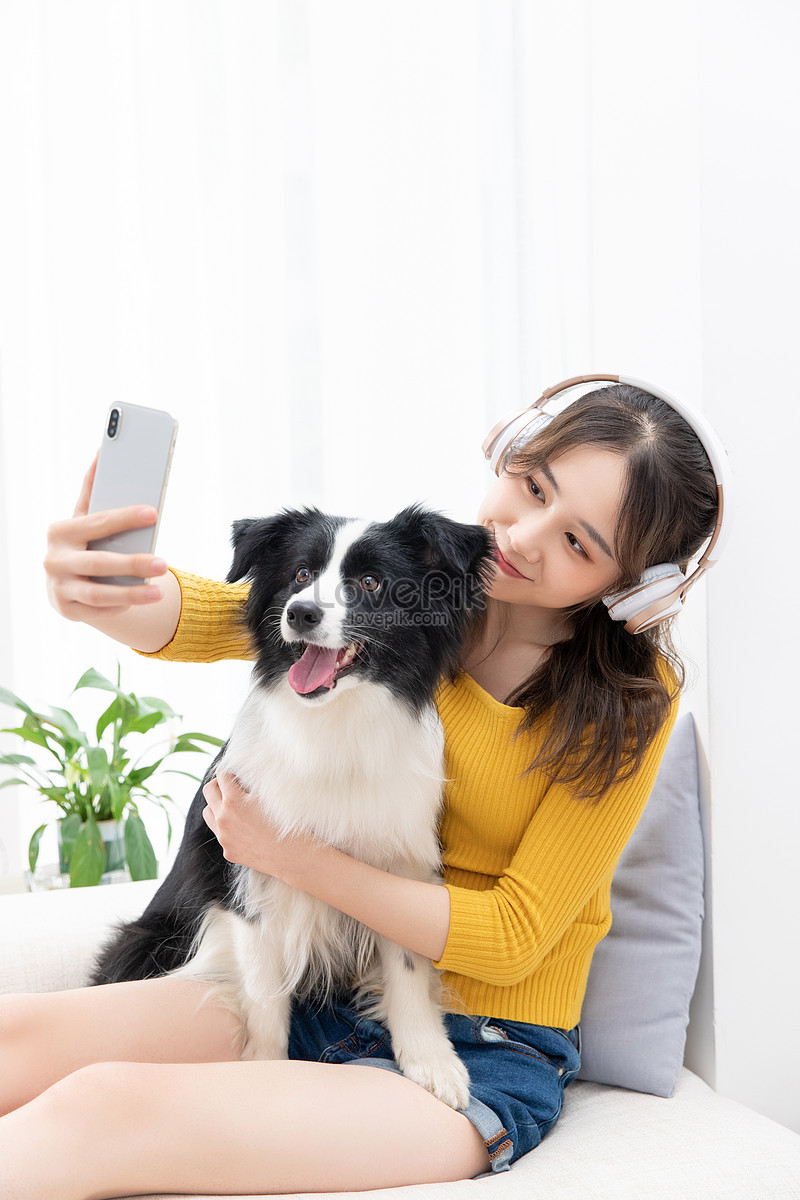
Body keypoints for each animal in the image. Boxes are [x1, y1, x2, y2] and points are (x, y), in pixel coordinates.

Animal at [90, 501, 491, 1108]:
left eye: (370, 583)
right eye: (301, 574)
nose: (301, 613)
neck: (335, 722)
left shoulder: (405, 868)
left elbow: (408, 969)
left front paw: (431, 1062)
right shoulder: (249, 880)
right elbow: (264, 995)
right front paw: (265, 1069)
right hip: (150, 941)